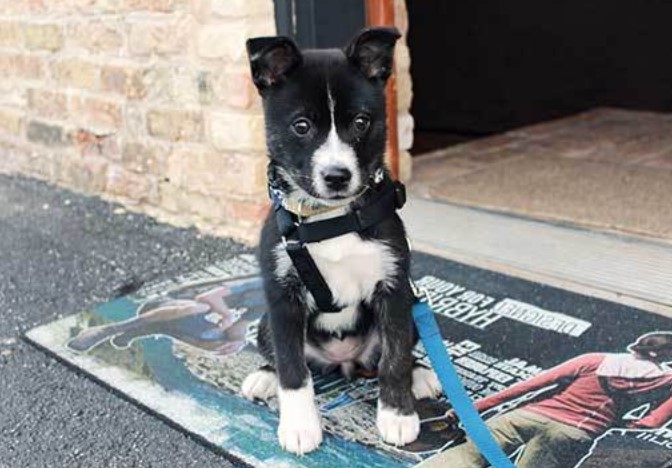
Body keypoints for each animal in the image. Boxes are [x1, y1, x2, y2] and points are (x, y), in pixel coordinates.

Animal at [242, 27, 440, 456]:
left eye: (361, 122)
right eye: (301, 126)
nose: (337, 176)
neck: (329, 218)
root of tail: (343, 361)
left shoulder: (393, 286)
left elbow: (395, 358)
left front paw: (397, 415)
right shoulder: (282, 296)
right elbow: (292, 368)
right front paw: (300, 425)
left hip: (412, 311)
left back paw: (422, 375)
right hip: (265, 322)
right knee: (280, 354)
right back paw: (264, 376)